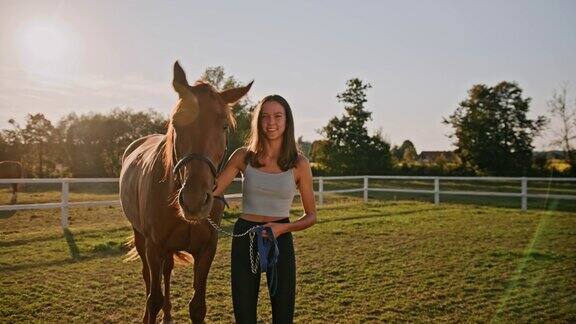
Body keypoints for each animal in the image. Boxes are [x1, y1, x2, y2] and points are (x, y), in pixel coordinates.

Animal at [120, 61, 252, 324]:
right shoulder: (154, 247)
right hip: (141, 238)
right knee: (148, 277)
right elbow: (153, 299)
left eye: (224, 126)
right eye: (176, 123)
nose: (194, 201)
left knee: (167, 272)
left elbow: (197, 306)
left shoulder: (207, 250)